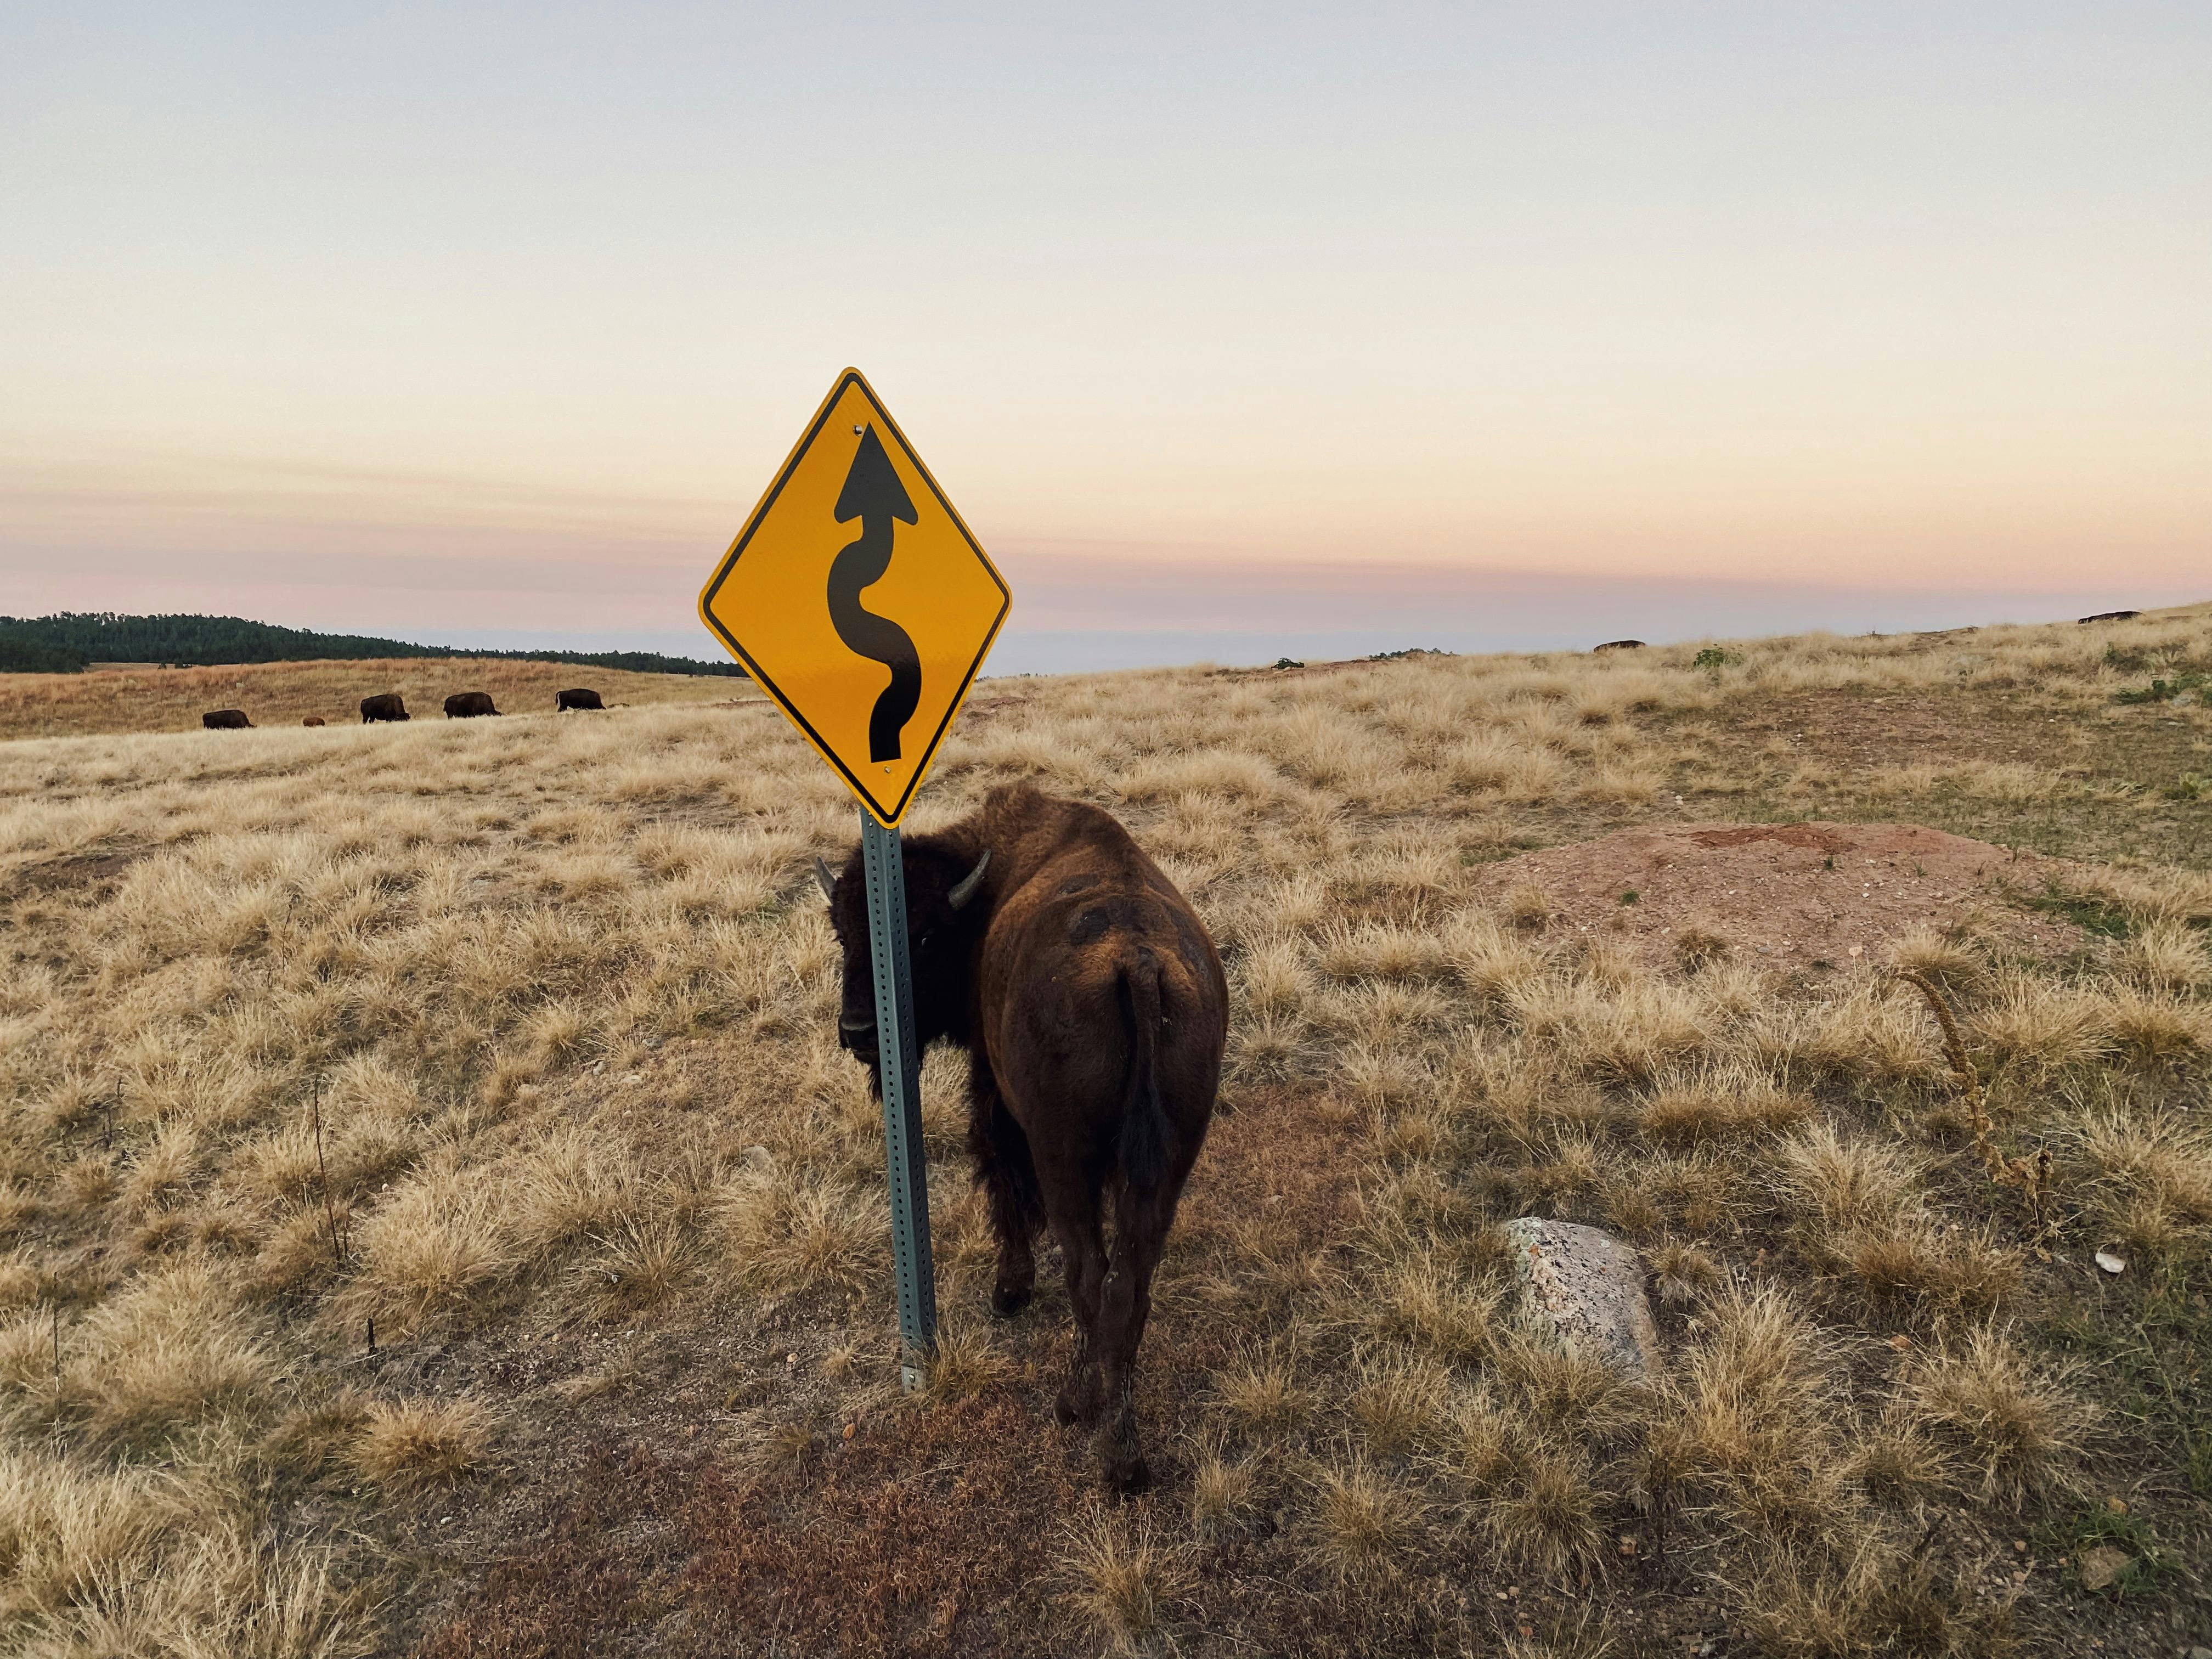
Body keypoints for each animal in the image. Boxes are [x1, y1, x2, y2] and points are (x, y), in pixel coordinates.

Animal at [818, 783, 1227, 1494]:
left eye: (924, 935)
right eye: (842, 931)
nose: (861, 1031)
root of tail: (1137, 962)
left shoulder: (995, 1095)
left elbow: (1000, 1179)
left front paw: (1009, 1289)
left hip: (1065, 1158)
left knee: (1089, 1274)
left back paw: (1076, 1409)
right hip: (1169, 1163)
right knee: (1130, 1288)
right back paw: (1125, 1456)